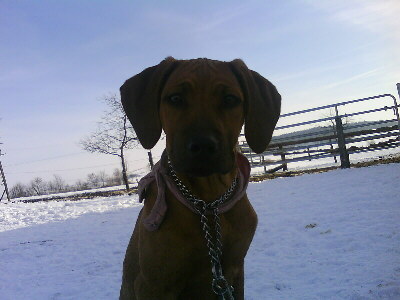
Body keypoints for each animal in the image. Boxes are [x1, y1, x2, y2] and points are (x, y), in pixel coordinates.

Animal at [119, 57, 282, 298]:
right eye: (175, 98)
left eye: (230, 99)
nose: (203, 146)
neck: (208, 202)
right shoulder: (153, 283)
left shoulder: (235, 271)